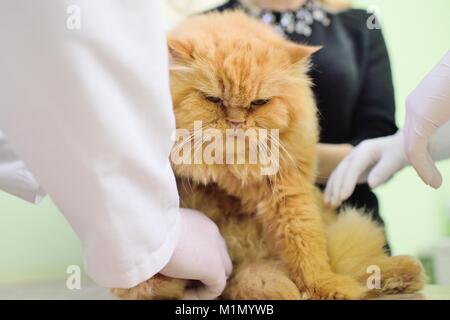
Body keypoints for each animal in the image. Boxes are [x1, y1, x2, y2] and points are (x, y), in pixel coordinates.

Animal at [113, 10, 426, 300]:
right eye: (213, 99)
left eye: (258, 103)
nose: (236, 122)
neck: (231, 167)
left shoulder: (288, 190)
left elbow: (307, 250)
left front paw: (324, 287)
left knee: (351, 264)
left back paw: (399, 273)